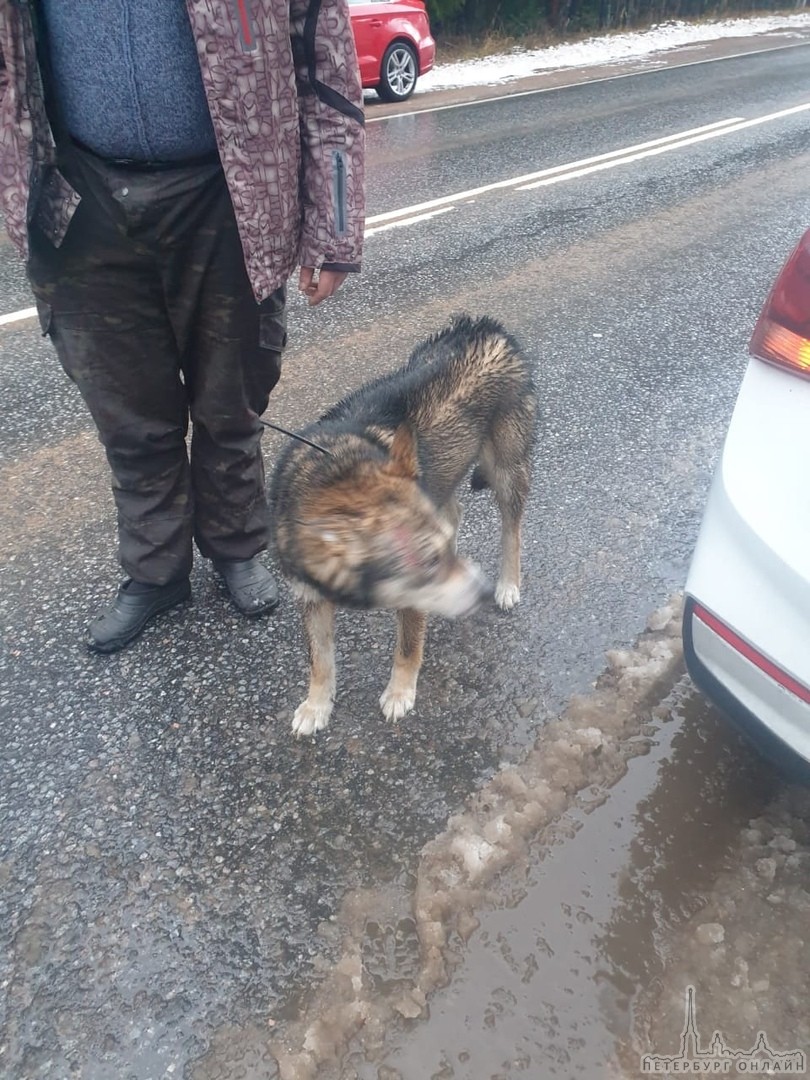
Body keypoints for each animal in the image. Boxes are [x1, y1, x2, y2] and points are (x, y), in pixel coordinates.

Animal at [271, 313, 540, 734]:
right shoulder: (310, 597)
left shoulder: (412, 601)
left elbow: (408, 647)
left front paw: (399, 692)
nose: (479, 592)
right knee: (456, 512)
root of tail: (486, 327)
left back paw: (507, 584)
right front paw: (316, 706)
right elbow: (320, 659)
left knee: (511, 528)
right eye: (428, 562)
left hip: (506, 471)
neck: (333, 473)